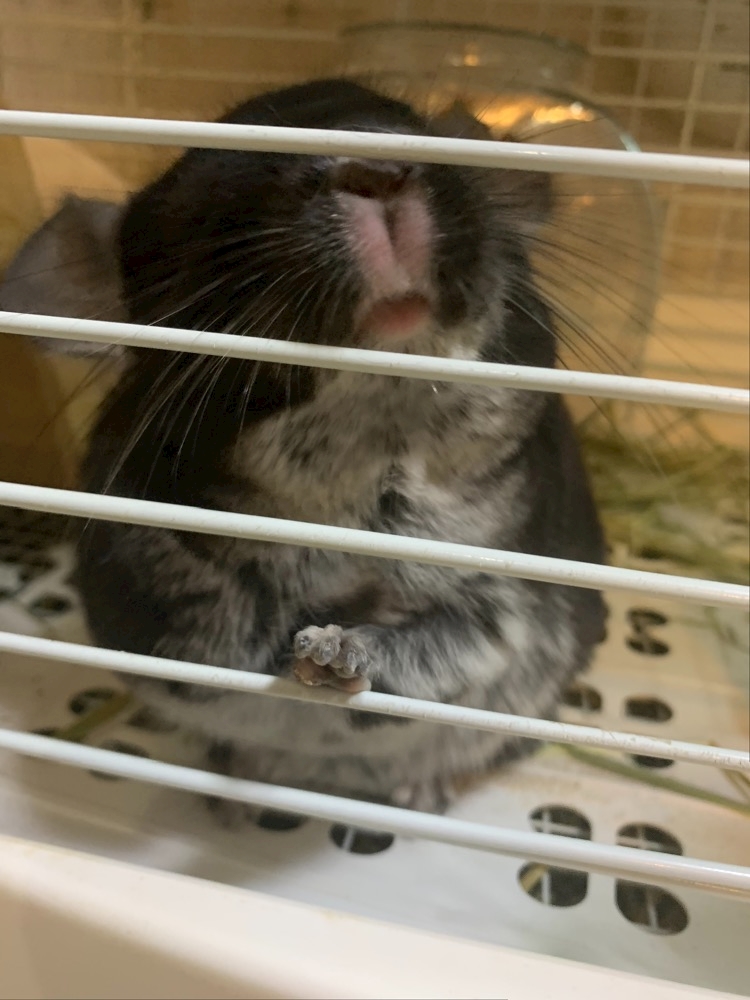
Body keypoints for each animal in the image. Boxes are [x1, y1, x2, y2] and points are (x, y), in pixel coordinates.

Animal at [1, 79, 607, 819]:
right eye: (205, 191)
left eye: (422, 131)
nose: (378, 164)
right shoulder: (159, 594)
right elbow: (221, 641)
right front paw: (303, 657)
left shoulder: (508, 597)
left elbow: (453, 646)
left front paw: (335, 657)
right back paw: (233, 793)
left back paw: (418, 792)